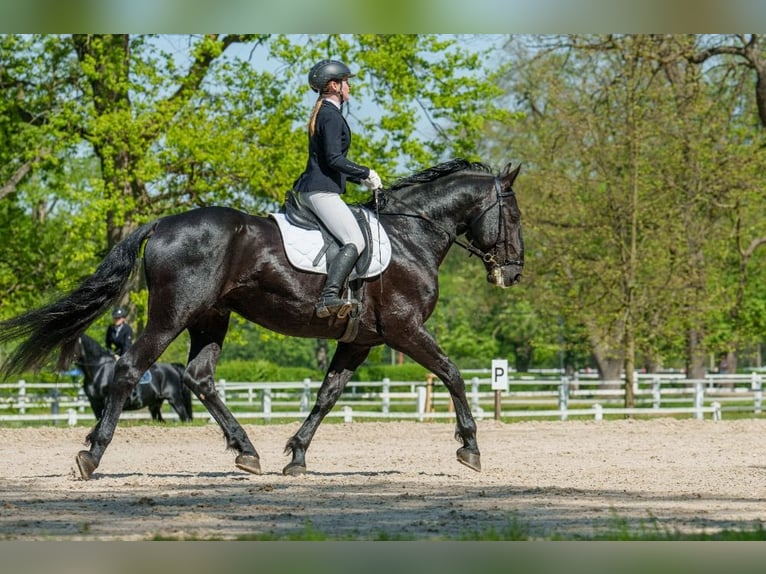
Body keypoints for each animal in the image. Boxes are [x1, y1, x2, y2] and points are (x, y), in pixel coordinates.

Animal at [0, 158, 524, 482]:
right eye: (515, 216)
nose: (513, 273)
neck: (410, 235)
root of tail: (163, 223)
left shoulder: (361, 340)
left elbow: (327, 395)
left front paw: (297, 455)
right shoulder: (405, 328)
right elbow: (453, 374)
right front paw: (470, 448)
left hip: (210, 318)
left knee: (199, 377)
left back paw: (246, 451)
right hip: (173, 314)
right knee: (131, 368)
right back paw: (91, 455)